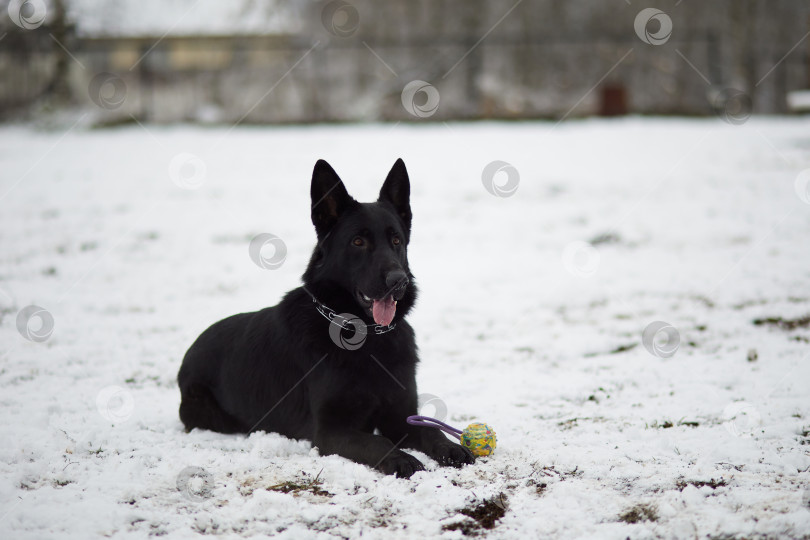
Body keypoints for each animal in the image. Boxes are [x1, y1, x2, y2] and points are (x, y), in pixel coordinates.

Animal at [174, 159, 470, 476]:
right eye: (358, 242)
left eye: (396, 240)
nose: (398, 281)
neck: (364, 338)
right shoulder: (330, 431)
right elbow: (376, 441)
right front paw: (400, 458)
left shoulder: (400, 415)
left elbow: (429, 430)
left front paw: (450, 447)